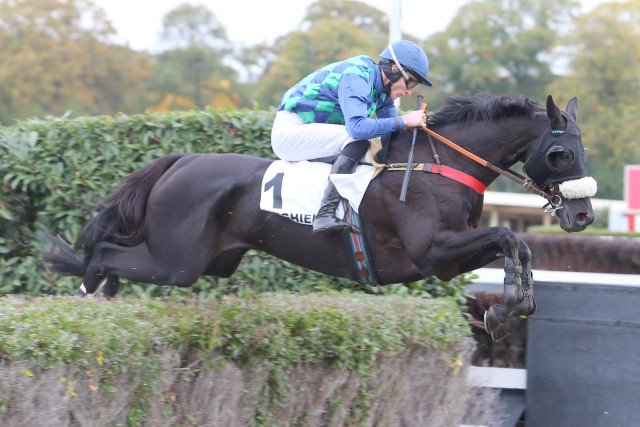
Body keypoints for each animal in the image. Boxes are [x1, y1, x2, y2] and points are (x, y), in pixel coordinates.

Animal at [45, 94, 596, 341]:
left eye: (584, 149)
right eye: (563, 154)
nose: (584, 215)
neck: (436, 166)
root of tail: (180, 161)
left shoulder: (446, 260)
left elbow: (517, 244)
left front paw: (512, 306)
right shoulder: (432, 253)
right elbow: (508, 235)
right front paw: (504, 308)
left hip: (203, 260)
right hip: (176, 262)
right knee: (105, 253)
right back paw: (89, 291)